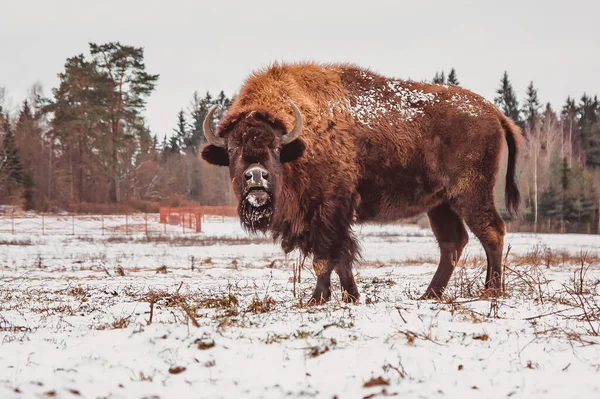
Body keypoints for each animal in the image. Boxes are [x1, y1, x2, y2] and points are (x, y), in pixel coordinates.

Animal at [202, 61, 520, 306]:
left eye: (276, 147)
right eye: (232, 149)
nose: (256, 176)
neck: (300, 140)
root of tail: (495, 113)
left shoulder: (329, 209)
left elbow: (325, 257)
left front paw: (316, 299)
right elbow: (341, 257)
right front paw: (352, 296)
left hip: (470, 193)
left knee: (491, 231)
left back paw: (491, 291)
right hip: (440, 203)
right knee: (452, 242)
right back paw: (429, 295)